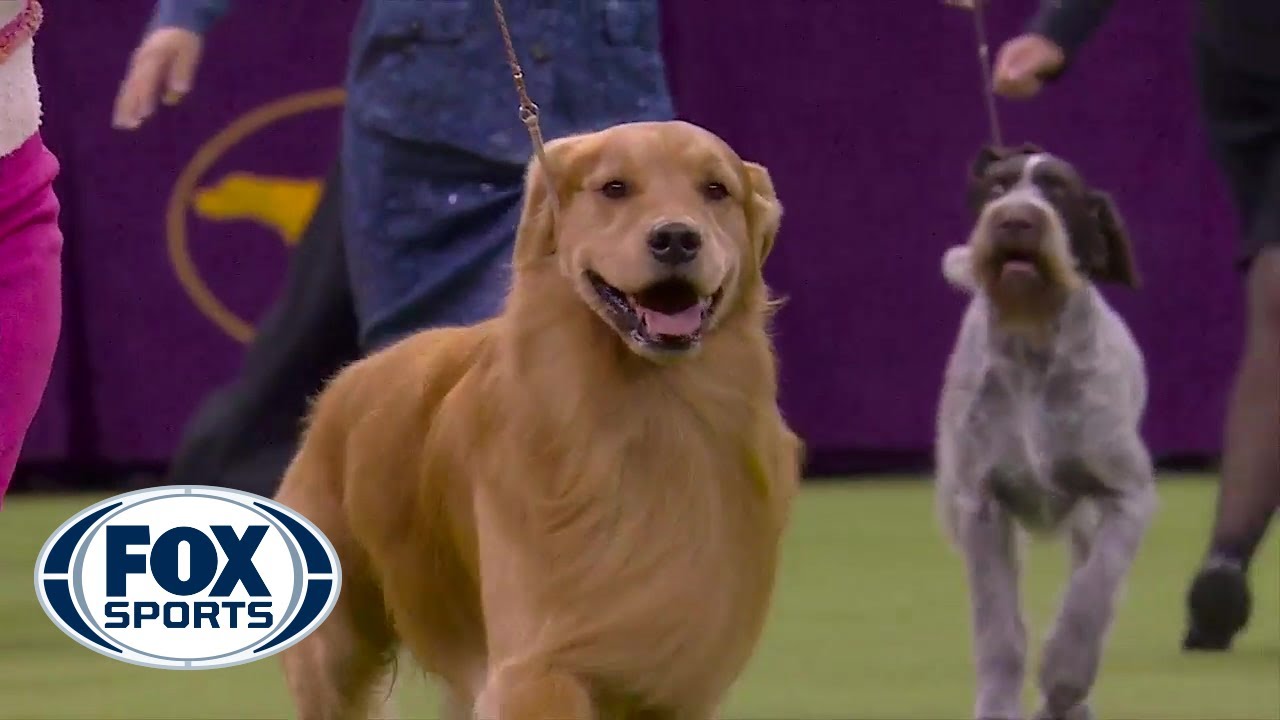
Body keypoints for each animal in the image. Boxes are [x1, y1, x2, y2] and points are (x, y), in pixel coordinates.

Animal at [931, 142, 1162, 717]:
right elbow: (999, 628)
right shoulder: (981, 505)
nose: (1016, 219)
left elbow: (1091, 594)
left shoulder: (1126, 496)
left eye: (1057, 191)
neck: (1031, 349)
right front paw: (998, 703)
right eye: (997, 187)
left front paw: (1063, 679)